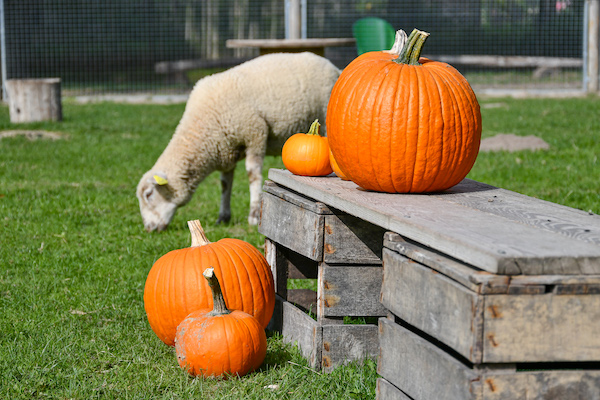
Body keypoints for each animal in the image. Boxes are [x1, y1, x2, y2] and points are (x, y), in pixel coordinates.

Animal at [138, 52, 340, 231]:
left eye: (149, 194)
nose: (148, 229)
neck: (202, 127)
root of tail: (333, 66)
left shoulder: (255, 133)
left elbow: (253, 175)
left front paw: (254, 215)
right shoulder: (225, 149)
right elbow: (225, 184)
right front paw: (223, 217)